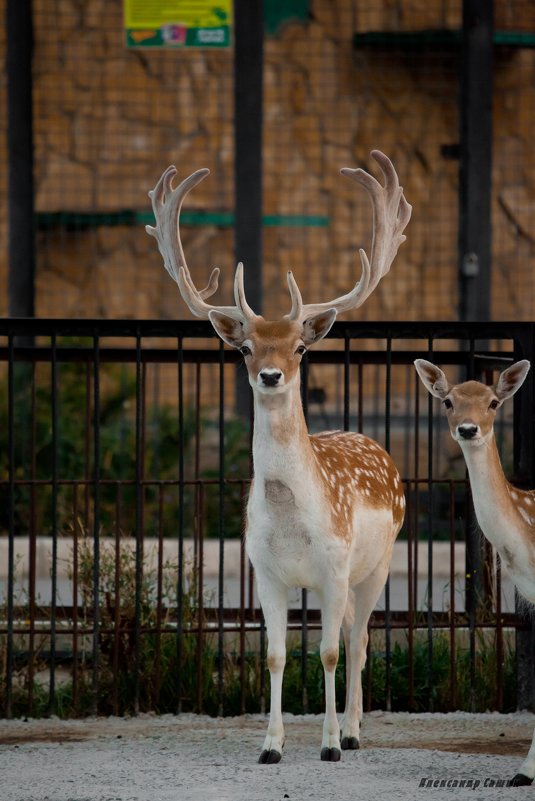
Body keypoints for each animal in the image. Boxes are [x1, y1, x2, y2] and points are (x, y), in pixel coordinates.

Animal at [144, 152, 412, 764]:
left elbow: (331, 654)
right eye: (245, 347)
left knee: (360, 640)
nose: (270, 374)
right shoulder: (265, 571)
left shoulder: (335, 565)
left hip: (377, 564)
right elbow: (274, 655)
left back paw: (355, 731)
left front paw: (331, 744)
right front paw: (271, 745)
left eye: (300, 347)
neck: (291, 519)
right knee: (349, 637)